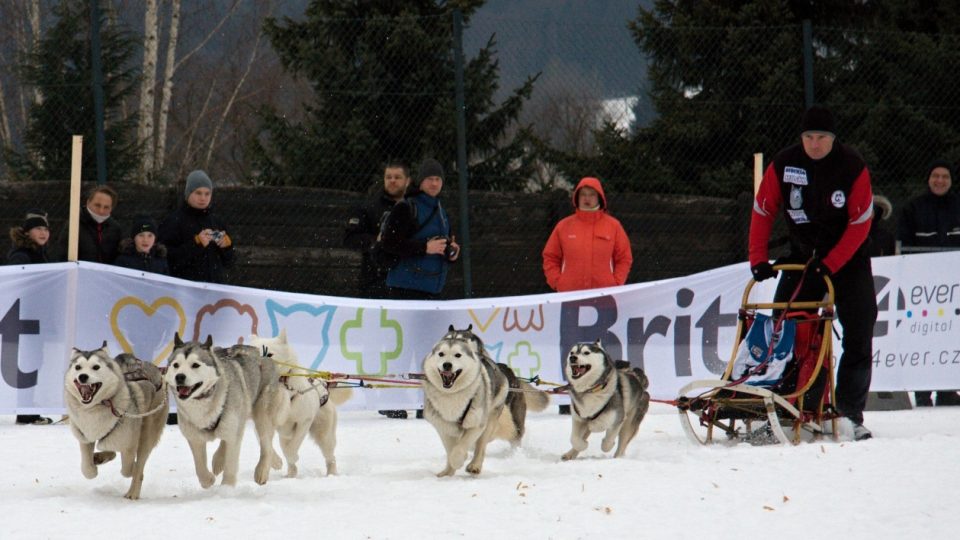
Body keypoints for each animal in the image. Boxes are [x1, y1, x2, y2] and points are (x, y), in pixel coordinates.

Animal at [63, 344, 165, 500]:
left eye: (96, 367)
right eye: (78, 367)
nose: (82, 376)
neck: (95, 408)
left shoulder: (129, 443)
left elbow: (129, 469)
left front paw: (133, 469)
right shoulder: (85, 437)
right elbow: (87, 470)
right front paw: (94, 465)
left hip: (147, 434)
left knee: (139, 464)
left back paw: (132, 493)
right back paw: (100, 457)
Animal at [163, 336, 288, 488]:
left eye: (195, 365)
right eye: (176, 365)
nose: (179, 377)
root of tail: (263, 356)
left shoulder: (234, 434)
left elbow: (231, 463)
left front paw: (226, 487)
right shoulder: (194, 437)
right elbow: (200, 468)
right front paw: (209, 480)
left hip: (261, 415)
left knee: (266, 444)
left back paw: (262, 471)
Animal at [248, 330, 352, 476]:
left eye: (269, 354)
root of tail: (324, 384)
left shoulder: (304, 422)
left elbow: (292, 448)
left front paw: (292, 456)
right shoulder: (262, 423)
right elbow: (264, 441)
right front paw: (275, 462)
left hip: (324, 435)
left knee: (330, 457)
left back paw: (331, 474)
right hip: (285, 436)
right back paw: (290, 475)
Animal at [420, 324, 548, 476]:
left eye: (458, 353)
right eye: (441, 353)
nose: (447, 365)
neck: (452, 394)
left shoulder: (476, 423)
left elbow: (460, 449)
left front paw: (459, 460)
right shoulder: (443, 426)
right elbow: (451, 449)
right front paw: (448, 472)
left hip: (497, 420)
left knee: (485, 445)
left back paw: (476, 465)